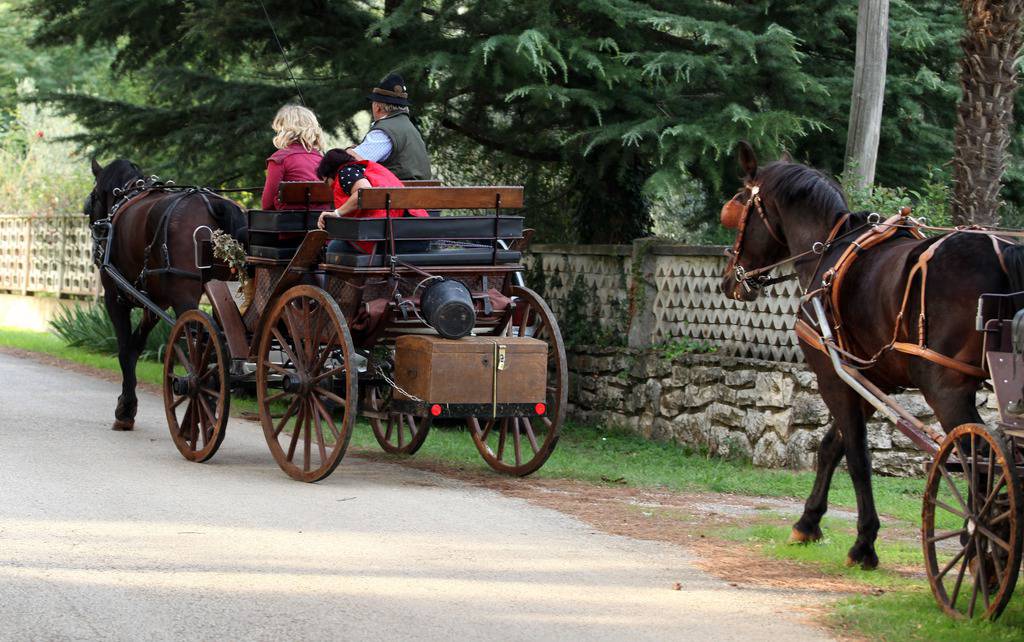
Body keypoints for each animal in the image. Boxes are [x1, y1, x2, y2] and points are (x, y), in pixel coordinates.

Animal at [83, 159, 243, 432]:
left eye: (93, 197)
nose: (96, 234)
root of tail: (214, 204)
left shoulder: (115, 298)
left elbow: (124, 349)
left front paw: (125, 409)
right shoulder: (155, 303)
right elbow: (136, 346)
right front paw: (127, 404)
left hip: (185, 297)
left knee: (202, 351)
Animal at [720, 143, 1024, 569]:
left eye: (739, 206)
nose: (730, 279)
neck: (828, 251)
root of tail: (1003, 251)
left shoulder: (834, 376)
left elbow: (858, 457)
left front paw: (864, 543)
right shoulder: (864, 379)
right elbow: (831, 447)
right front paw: (807, 523)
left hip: (945, 389)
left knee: (978, 460)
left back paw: (980, 537)